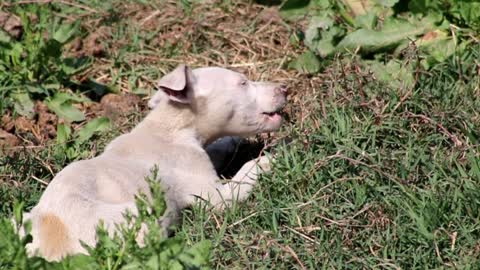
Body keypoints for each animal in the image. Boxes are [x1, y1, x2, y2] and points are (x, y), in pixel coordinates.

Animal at [21, 64, 284, 260]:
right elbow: (239, 181)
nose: (285, 89)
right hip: (144, 217)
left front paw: (231, 141)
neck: (171, 128)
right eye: (243, 83)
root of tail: (50, 245)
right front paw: (267, 160)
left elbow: (217, 149)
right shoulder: (211, 194)